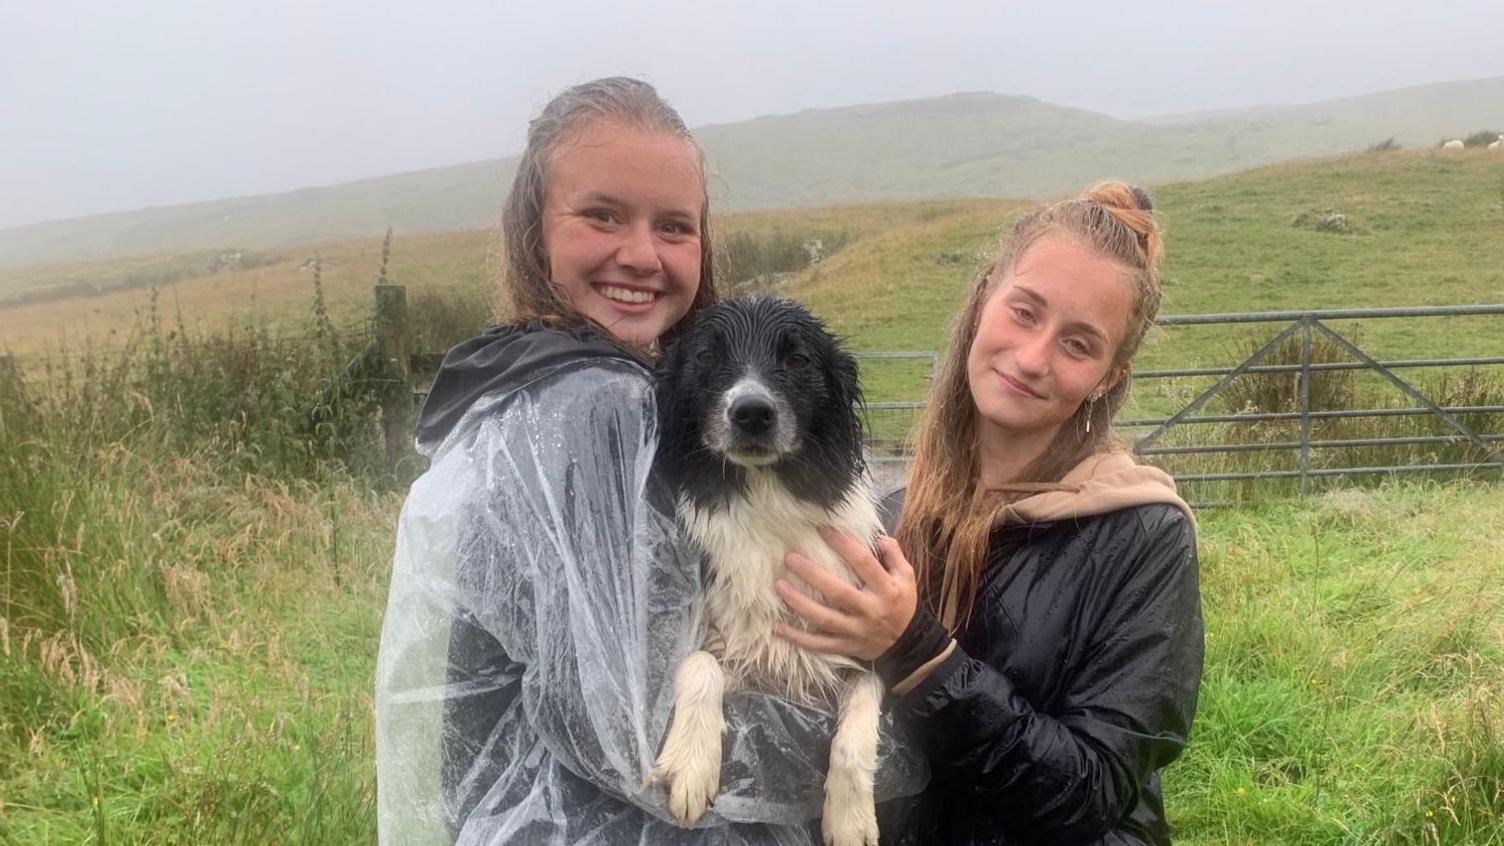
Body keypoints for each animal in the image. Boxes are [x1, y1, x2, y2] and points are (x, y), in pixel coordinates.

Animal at [652, 295, 884, 842]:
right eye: (706, 356)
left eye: (798, 359)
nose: (752, 413)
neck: (766, 494)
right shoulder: (729, 651)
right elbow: (699, 662)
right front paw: (690, 763)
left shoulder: (863, 647)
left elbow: (857, 727)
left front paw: (851, 819)